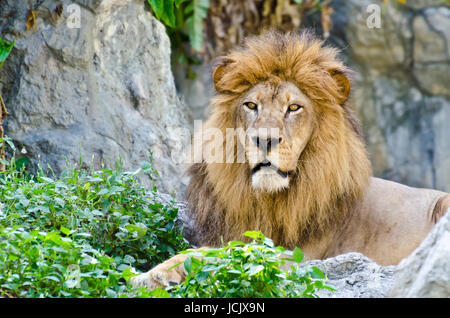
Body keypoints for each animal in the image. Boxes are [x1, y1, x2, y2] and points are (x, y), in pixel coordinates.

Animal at [131, 31, 450, 290]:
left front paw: (158, 273)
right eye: (251, 105)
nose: (265, 140)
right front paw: (150, 274)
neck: (266, 200)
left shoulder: (301, 258)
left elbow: (225, 253)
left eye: (294, 108)